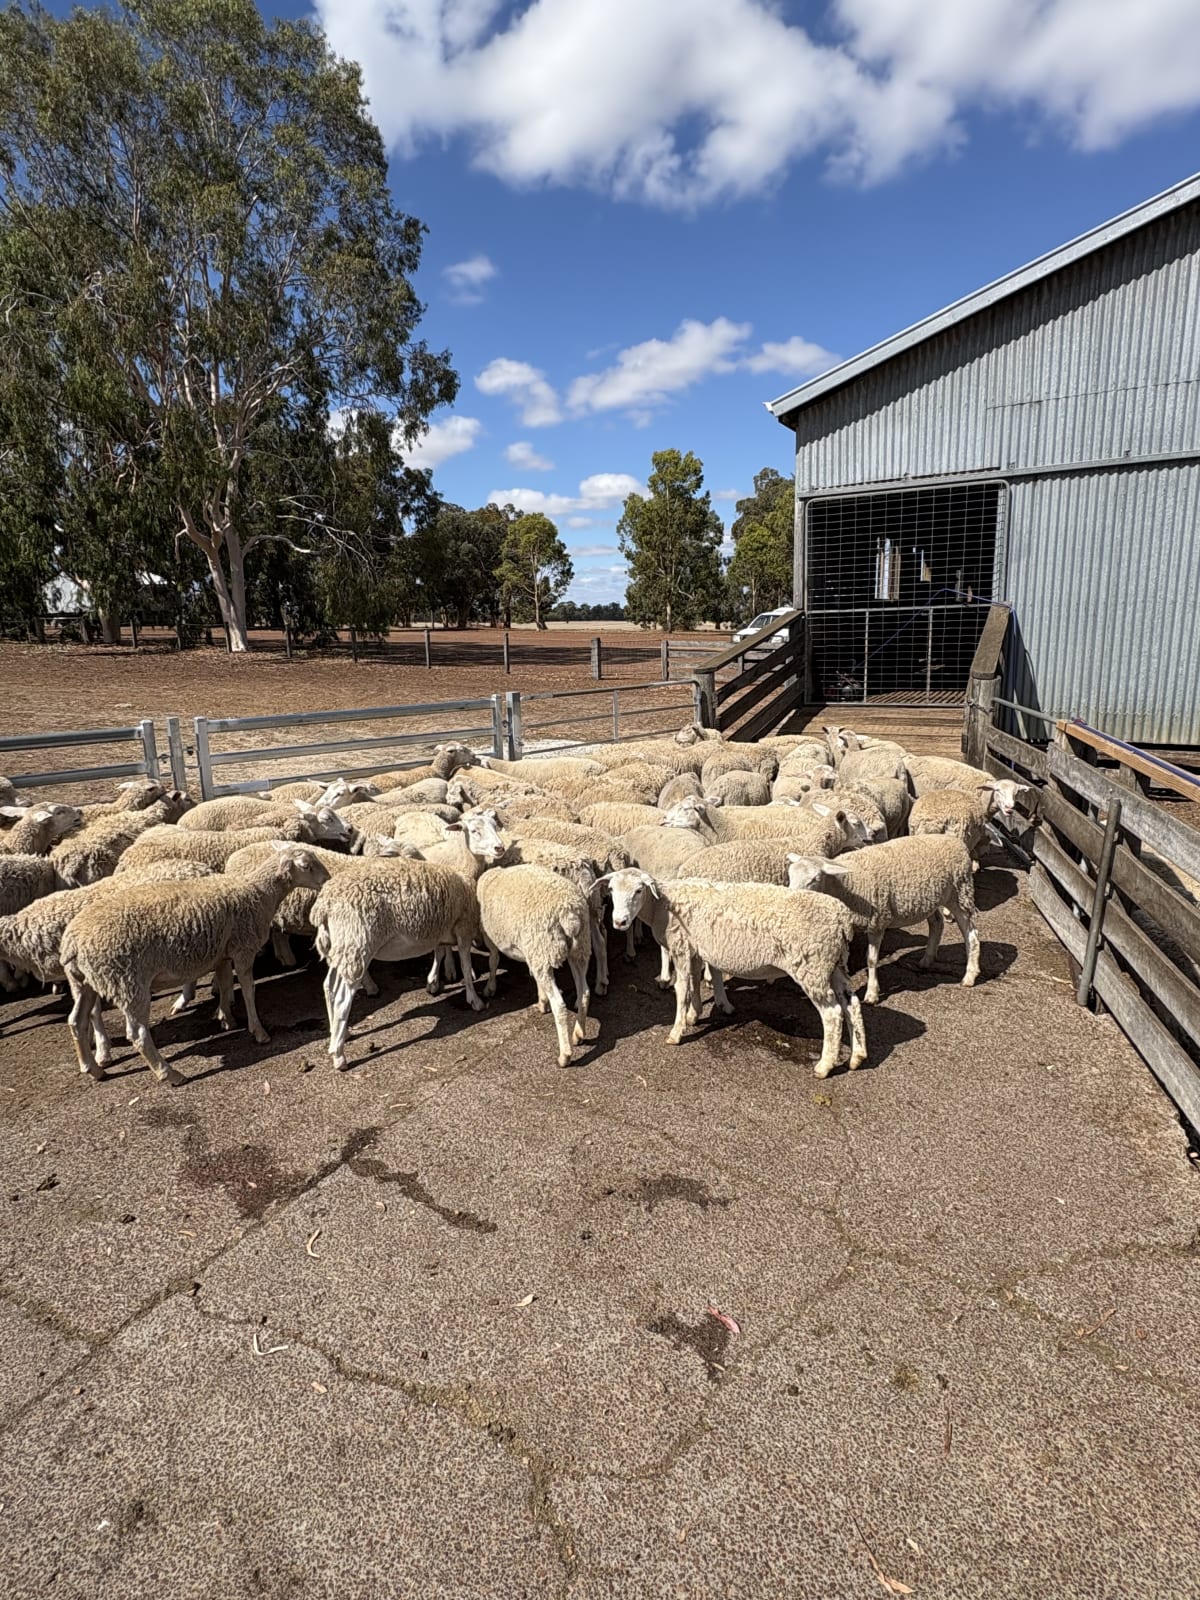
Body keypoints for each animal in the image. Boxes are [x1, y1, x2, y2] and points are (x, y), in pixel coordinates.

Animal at [62, 844, 332, 1084]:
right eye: (306, 866)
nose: (328, 879)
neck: (259, 893)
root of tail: (72, 943)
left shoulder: (222, 953)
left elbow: (225, 984)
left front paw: (226, 1019)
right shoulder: (243, 949)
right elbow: (248, 990)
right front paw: (258, 1031)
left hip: (84, 981)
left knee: (76, 1021)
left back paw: (93, 1069)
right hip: (127, 981)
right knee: (137, 1034)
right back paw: (169, 1074)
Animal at [477, 865, 592, 1068]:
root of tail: (570, 914)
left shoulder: (490, 936)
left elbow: (493, 960)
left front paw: (490, 988)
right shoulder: (535, 953)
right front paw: (542, 1000)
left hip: (544, 944)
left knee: (560, 1006)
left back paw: (565, 1055)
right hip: (577, 948)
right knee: (584, 992)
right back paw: (578, 1034)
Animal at [604, 869, 865, 1077]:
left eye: (639, 890)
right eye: (611, 890)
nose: (619, 922)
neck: (660, 905)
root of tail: (842, 919)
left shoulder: (680, 946)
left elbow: (682, 988)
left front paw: (677, 1032)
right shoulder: (695, 948)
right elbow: (695, 982)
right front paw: (694, 1014)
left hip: (813, 965)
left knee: (832, 1014)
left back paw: (824, 1066)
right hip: (835, 963)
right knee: (851, 1004)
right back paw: (857, 1057)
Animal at [786, 835, 980, 1003]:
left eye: (815, 878)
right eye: (790, 875)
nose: (791, 896)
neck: (846, 884)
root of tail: (956, 841)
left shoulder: (877, 922)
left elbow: (871, 960)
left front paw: (872, 993)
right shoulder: (849, 926)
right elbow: (843, 961)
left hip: (959, 893)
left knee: (971, 934)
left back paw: (969, 975)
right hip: (930, 899)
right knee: (937, 924)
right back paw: (927, 960)